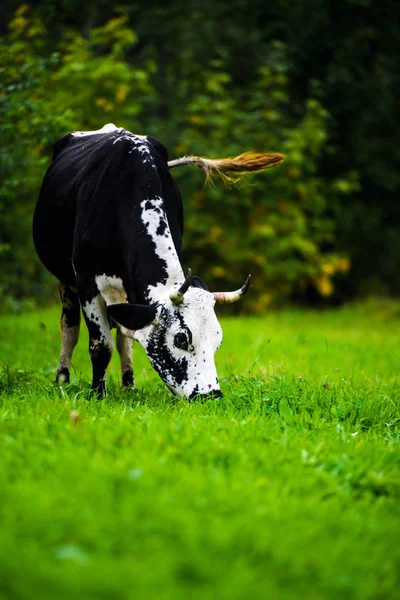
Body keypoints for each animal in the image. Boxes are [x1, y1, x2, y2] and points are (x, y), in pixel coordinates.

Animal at [33, 123, 284, 398]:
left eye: (218, 340)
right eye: (181, 338)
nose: (210, 395)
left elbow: (123, 338)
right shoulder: (87, 281)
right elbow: (101, 345)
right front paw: (98, 394)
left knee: (123, 338)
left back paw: (128, 385)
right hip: (66, 282)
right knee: (70, 326)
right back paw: (62, 379)